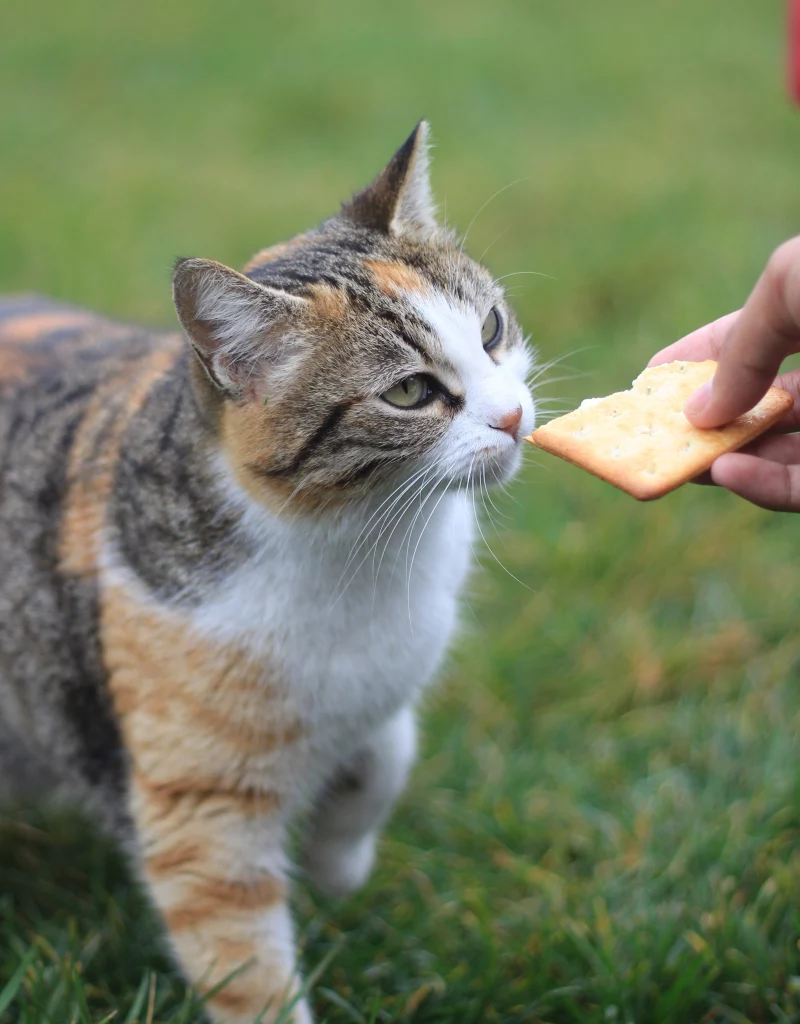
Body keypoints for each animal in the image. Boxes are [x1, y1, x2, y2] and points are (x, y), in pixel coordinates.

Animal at [0, 123, 536, 1019]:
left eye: (492, 328)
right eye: (410, 392)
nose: (515, 416)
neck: (365, 547)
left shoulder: (381, 688)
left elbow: (388, 755)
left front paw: (337, 865)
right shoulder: (200, 807)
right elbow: (244, 964)